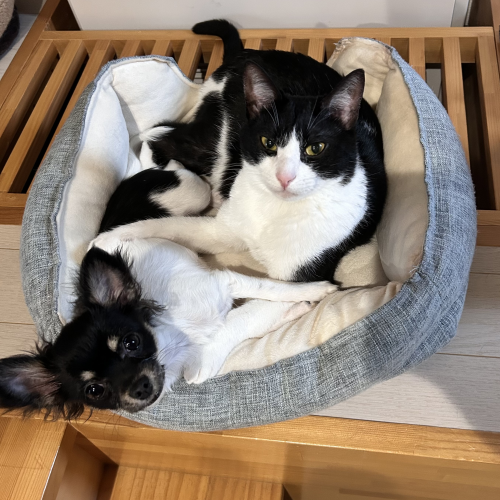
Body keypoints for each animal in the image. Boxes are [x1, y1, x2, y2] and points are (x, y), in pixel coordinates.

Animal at [94, 19, 387, 283]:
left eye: (316, 148)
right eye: (268, 142)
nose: (284, 177)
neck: (275, 209)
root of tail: (247, 53)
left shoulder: (302, 274)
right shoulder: (221, 228)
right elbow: (165, 226)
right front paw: (108, 240)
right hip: (216, 142)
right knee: (157, 134)